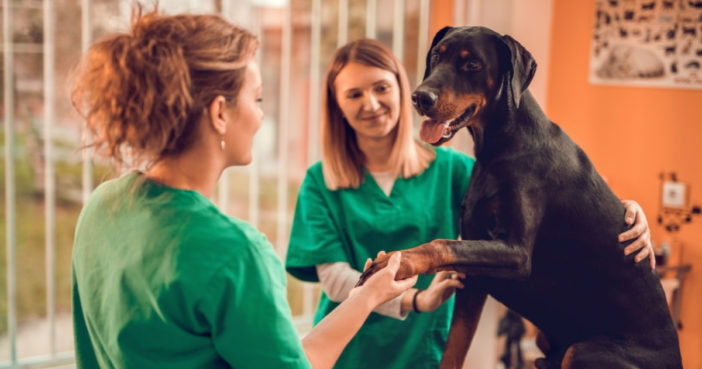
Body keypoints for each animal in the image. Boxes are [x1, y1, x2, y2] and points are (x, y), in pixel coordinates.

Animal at [358, 26, 680, 368]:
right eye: (436, 55)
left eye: (472, 64)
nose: (420, 97)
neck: (499, 146)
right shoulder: (472, 274)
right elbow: (453, 349)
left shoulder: (515, 253)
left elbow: (440, 243)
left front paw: (394, 262)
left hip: (584, 350)